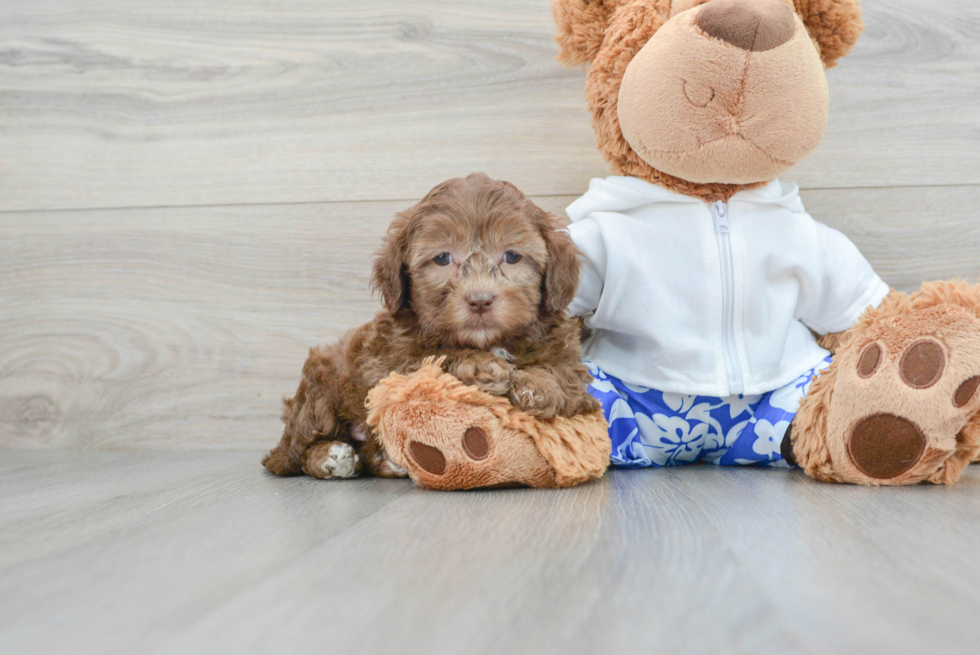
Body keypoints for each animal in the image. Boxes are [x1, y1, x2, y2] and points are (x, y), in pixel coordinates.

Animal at [262, 173, 596, 482]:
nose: (480, 300)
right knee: (297, 449)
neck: (487, 341)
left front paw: (537, 386)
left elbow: (565, 374)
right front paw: (480, 366)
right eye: (442, 258)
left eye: (512, 256)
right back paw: (330, 456)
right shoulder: (389, 362)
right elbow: (431, 359)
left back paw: (387, 461)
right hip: (323, 381)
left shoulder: (565, 351)